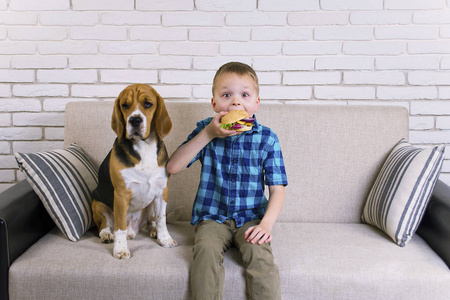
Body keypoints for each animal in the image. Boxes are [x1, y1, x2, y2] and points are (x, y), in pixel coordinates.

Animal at [90, 83, 177, 258]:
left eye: (148, 104)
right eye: (125, 105)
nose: (135, 120)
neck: (144, 147)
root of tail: (134, 230)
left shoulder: (162, 192)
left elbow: (161, 219)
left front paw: (164, 238)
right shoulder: (121, 195)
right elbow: (120, 226)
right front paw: (120, 249)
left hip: (150, 205)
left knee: (152, 221)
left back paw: (154, 231)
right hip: (97, 204)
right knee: (104, 225)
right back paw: (107, 235)